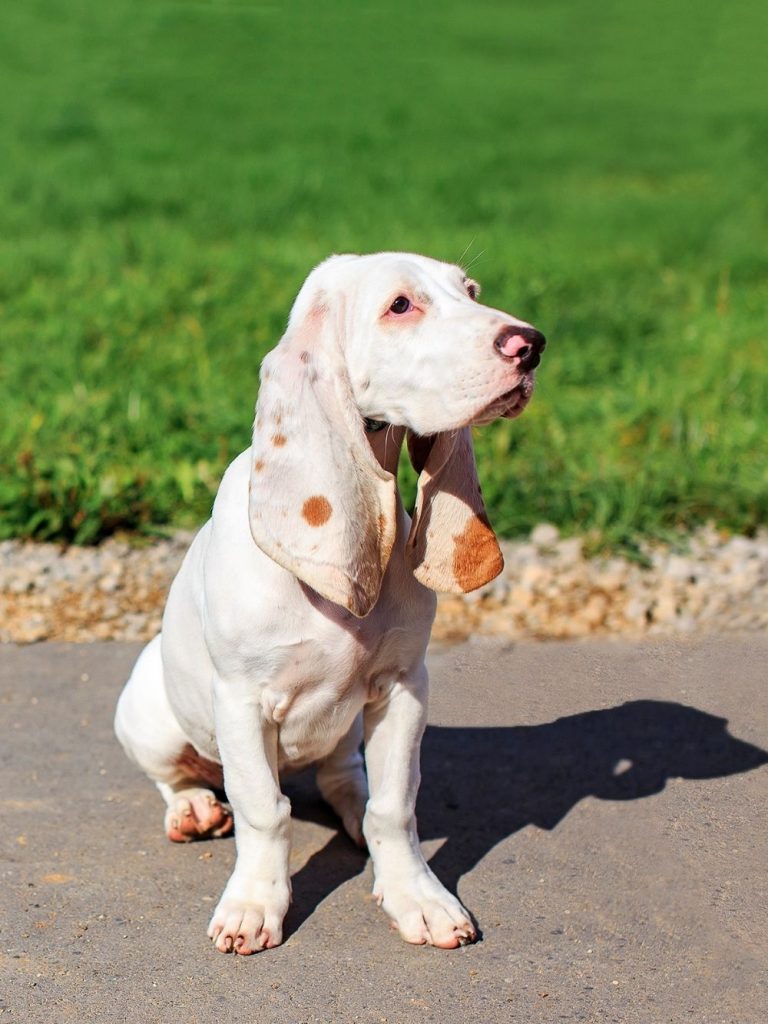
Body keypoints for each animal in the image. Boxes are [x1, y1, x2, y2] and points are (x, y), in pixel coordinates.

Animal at [114, 251, 548, 954]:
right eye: (400, 305)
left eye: (472, 291)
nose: (531, 345)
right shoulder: (241, 701)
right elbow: (265, 811)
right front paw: (253, 905)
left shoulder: (404, 687)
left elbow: (395, 808)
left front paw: (416, 896)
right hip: (147, 712)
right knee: (177, 776)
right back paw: (193, 809)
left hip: (346, 732)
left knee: (343, 780)